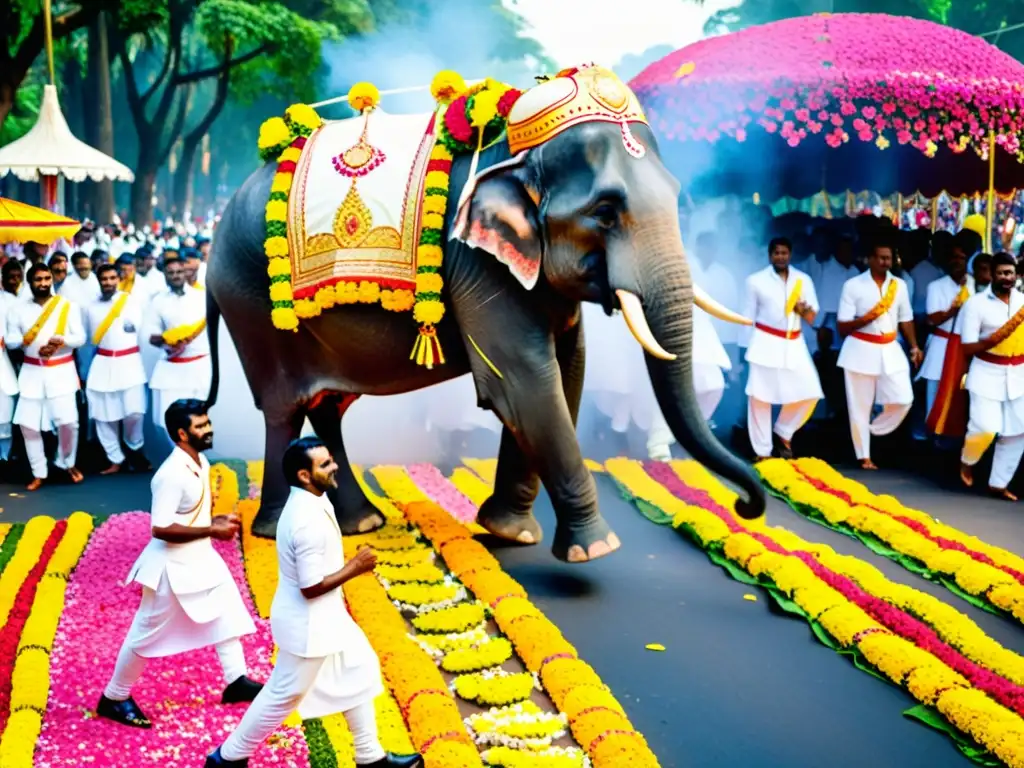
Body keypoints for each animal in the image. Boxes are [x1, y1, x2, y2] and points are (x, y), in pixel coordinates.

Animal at [203, 64, 765, 565]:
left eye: (676, 196)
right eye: (604, 212)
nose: (745, 506)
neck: (515, 153)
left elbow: (566, 372)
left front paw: (510, 533)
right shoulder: (474, 262)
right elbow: (524, 381)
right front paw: (596, 549)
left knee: (327, 405)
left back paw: (361, 522)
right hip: (252, 304)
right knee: (284, 405)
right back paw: (274, 529)